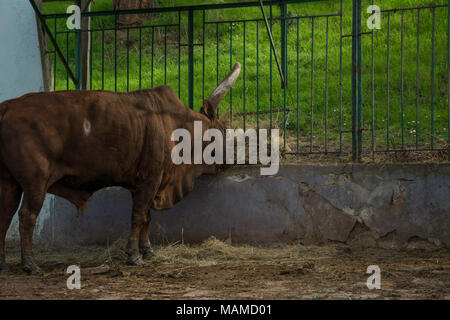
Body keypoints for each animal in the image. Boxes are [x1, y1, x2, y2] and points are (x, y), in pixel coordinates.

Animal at [0, 63, 241, 276]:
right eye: (221, 131)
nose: (233, 158)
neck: (176, 124)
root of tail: (7, 107)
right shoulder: (150, 180)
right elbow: (138, 216)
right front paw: (134, 255)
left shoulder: (146, 184)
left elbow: (146, 217)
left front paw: (147, 251)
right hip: (35, 182)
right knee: (27, 217)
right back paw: (29, 264)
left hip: (10, 183)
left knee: (5, 216)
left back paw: (3, 264)